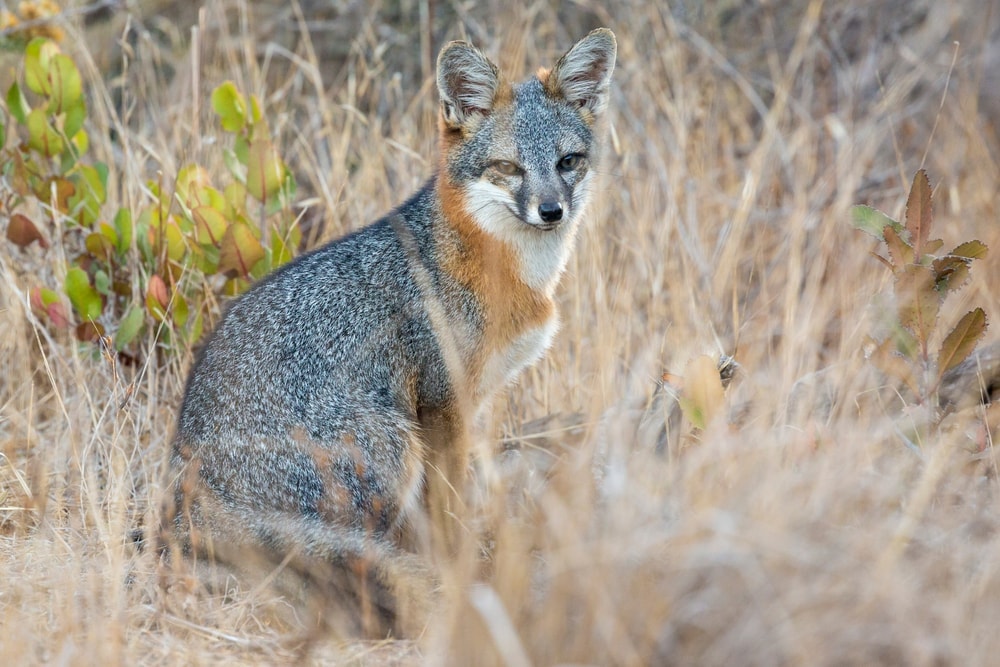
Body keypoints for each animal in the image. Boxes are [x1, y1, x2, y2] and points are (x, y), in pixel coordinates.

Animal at [163, 28, 617, 636]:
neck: (497, 265)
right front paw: (461, 567)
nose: (551, 210)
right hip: (392, 440)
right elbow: (448, 509)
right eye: (508, 168)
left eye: (568, 162)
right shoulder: (443, 405)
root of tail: (188, 484)